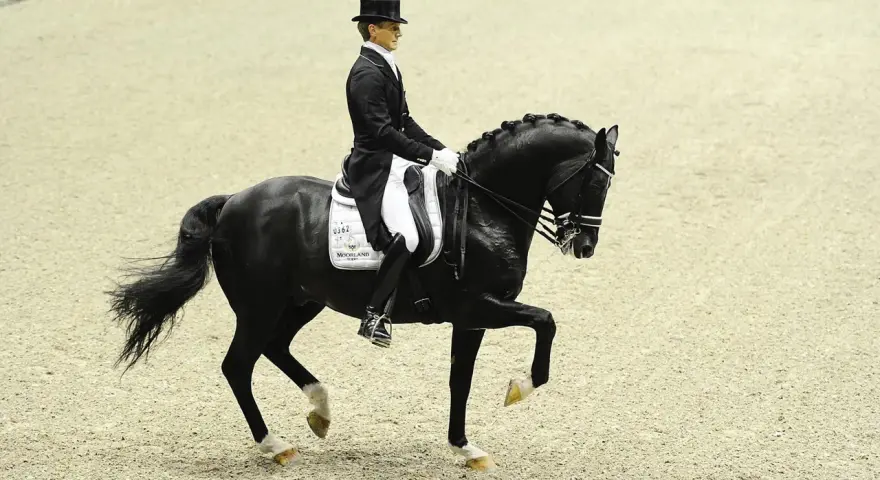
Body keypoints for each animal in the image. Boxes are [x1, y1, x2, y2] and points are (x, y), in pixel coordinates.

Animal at [106, 112, 619, 471]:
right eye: (594, 181)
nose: (585, 246)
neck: (480, 210)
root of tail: (233, 201)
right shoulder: (480, 306)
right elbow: (545, 321)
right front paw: (520, 388)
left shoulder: (471, 318)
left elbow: (461, 380)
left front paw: (466, 448)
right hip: (259, 306)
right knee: (238, 365)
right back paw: (276, 445)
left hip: (302, 301)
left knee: (275, 348)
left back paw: (320, 412)